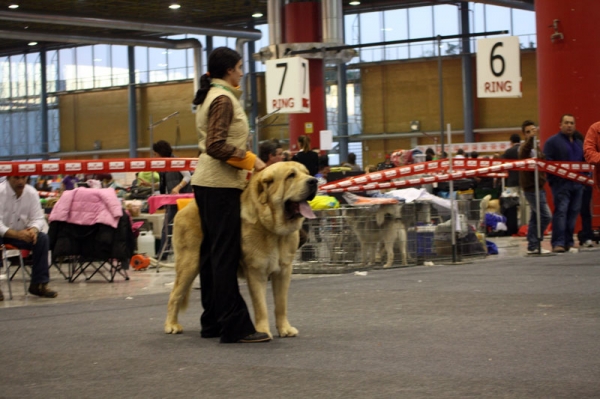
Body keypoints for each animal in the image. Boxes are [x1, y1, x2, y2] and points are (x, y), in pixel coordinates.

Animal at [162, 161, 316, 340]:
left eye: (307, 173)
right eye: (291, 175)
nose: (313, 181)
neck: (271, 229)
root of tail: (182, 210)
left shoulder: (283, 271)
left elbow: (281, 304)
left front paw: (285, 328)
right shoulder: (256, 271)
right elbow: (261, 306)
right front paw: (263, 331)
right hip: (189, 264)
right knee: (175, 295)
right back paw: (171, 325)